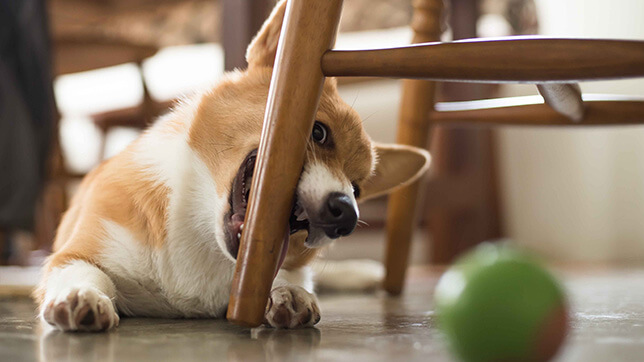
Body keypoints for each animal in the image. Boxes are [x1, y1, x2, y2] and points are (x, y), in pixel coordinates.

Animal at [35, 0, 428, 332]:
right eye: (318, 132)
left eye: (357, 189)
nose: (346, 214)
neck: (202, 228)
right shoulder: (74, 253)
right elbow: (86, 273)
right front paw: (81, 297)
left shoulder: (289, 266)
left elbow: (292, 276)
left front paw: (290, 294)